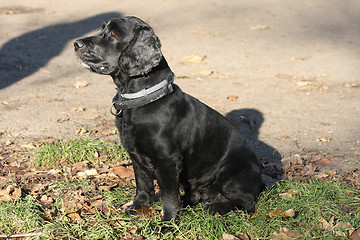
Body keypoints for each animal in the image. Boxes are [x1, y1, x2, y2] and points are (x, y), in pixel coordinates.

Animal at [74, 15, 262, 220]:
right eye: (102, 29)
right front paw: (138, 207)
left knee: (247, 203)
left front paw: (167, 222)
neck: (139, 101)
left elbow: (169, 196)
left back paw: (216, 207)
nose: (76, 43)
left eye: (115, 33)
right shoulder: (136, 156)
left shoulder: (167, 160)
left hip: (230, 172)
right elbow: (143, 185)